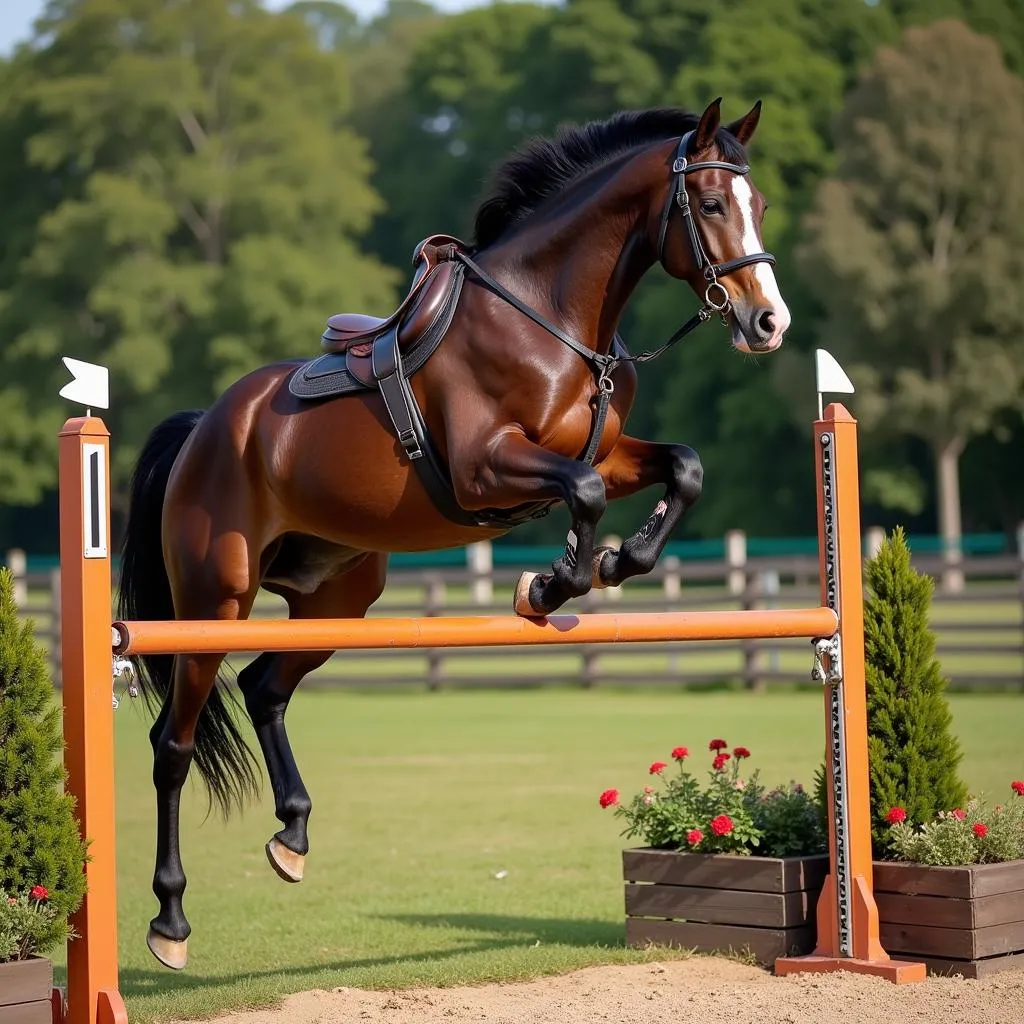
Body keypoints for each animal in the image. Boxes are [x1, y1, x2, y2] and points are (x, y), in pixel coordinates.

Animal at [117, 97, 790, 966]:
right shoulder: (485, 467)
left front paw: (616, 561)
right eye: (709, 204)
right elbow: (582, 493)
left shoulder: (606, 451)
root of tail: (205, 427)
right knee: (173, 745)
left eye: (758, 204)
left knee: (265, 686)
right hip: (214, 598)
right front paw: (552, 583)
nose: (769, 321)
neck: (554, 317)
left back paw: (293, 836)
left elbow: (684, 467)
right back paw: (169, 921)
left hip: (340, 595)